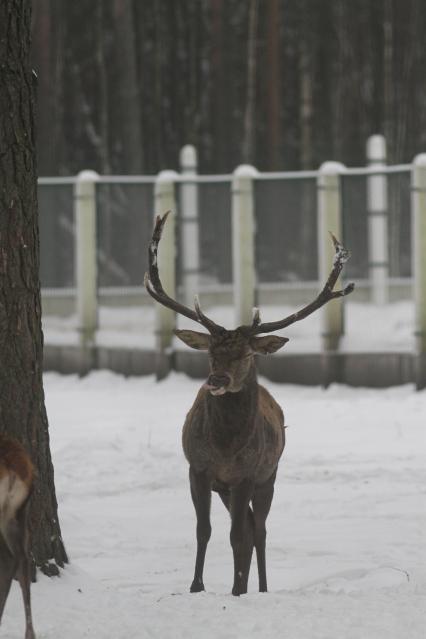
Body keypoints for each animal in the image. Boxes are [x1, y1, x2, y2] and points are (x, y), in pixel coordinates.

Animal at [145, 212, 354, 596]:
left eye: (245, 354)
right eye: (211, 353)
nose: (216, 380)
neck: (225, 447)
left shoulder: (246, 474)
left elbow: (237, 535)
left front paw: (236, 590)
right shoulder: (198, 469)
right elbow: (204, 531)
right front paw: (196, 586)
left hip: (269, 474)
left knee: (259, 529)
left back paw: (260, 587)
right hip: (228, 487)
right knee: (249, 525)